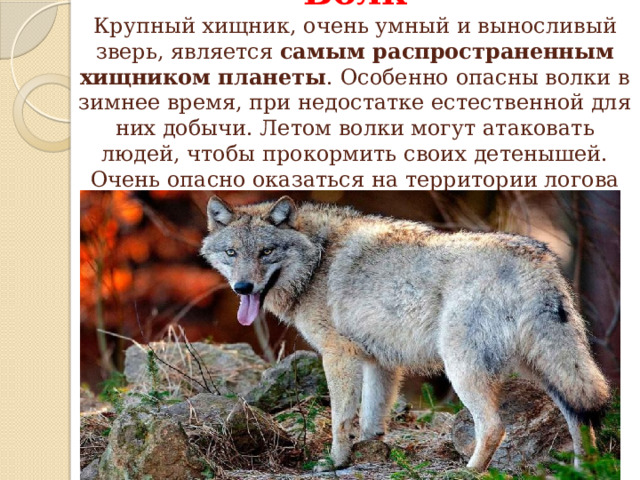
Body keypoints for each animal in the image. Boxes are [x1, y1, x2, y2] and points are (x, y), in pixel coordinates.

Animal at [200, 195, 610, 472]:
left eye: (266, 251)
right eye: (232, 253)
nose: (242, 287)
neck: (317, 260)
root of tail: (537, 258)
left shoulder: (339, 356)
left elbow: (340, 420)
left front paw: (335, 462)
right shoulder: (379, 363)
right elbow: (371, 419)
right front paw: (368, 452)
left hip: (463, 369)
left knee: (494, 427)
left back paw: (469, 472)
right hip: (546, 369)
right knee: (580, 418)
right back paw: (585, 471)